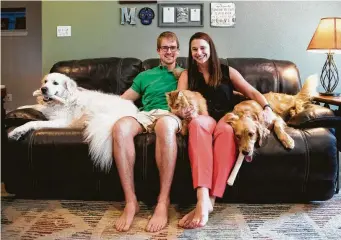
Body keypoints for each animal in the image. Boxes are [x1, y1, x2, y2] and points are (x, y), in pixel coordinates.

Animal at [7, 72, 138, 172]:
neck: (63, 100)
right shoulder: (47, 109)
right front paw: (19, 109)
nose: (43, 89)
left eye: (55, 83)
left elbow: (33, 123)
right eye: (45, 81)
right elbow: (35, 106)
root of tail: (134, 111)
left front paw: (16, 131)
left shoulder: (60, 121)